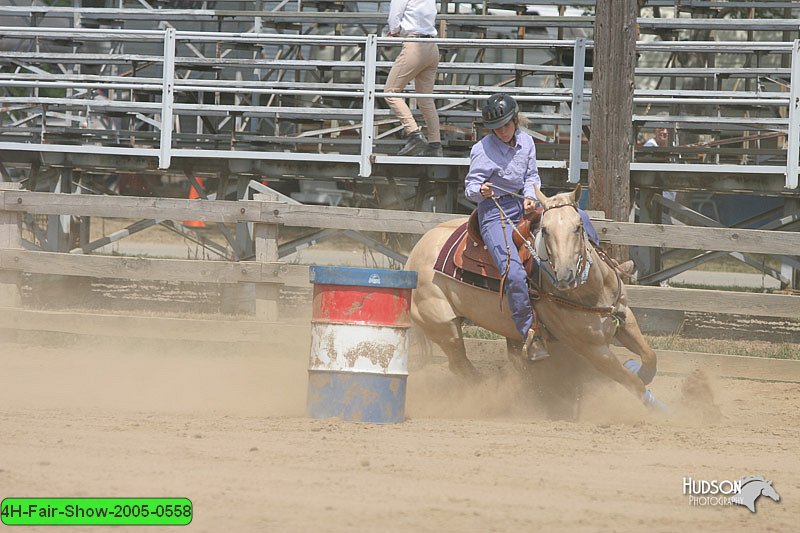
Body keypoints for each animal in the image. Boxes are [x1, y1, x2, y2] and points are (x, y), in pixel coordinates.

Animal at [410, 183, 660, 412]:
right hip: (444, 327)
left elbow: (650, 356)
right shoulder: (592, 348)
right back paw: (489, 390)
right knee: (459, 364)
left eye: (578, 226)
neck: (592, 291)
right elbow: (632, 382)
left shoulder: (624, 316)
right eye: (546, 230)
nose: (565, 275)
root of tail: (416, 252)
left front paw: (644, 373)